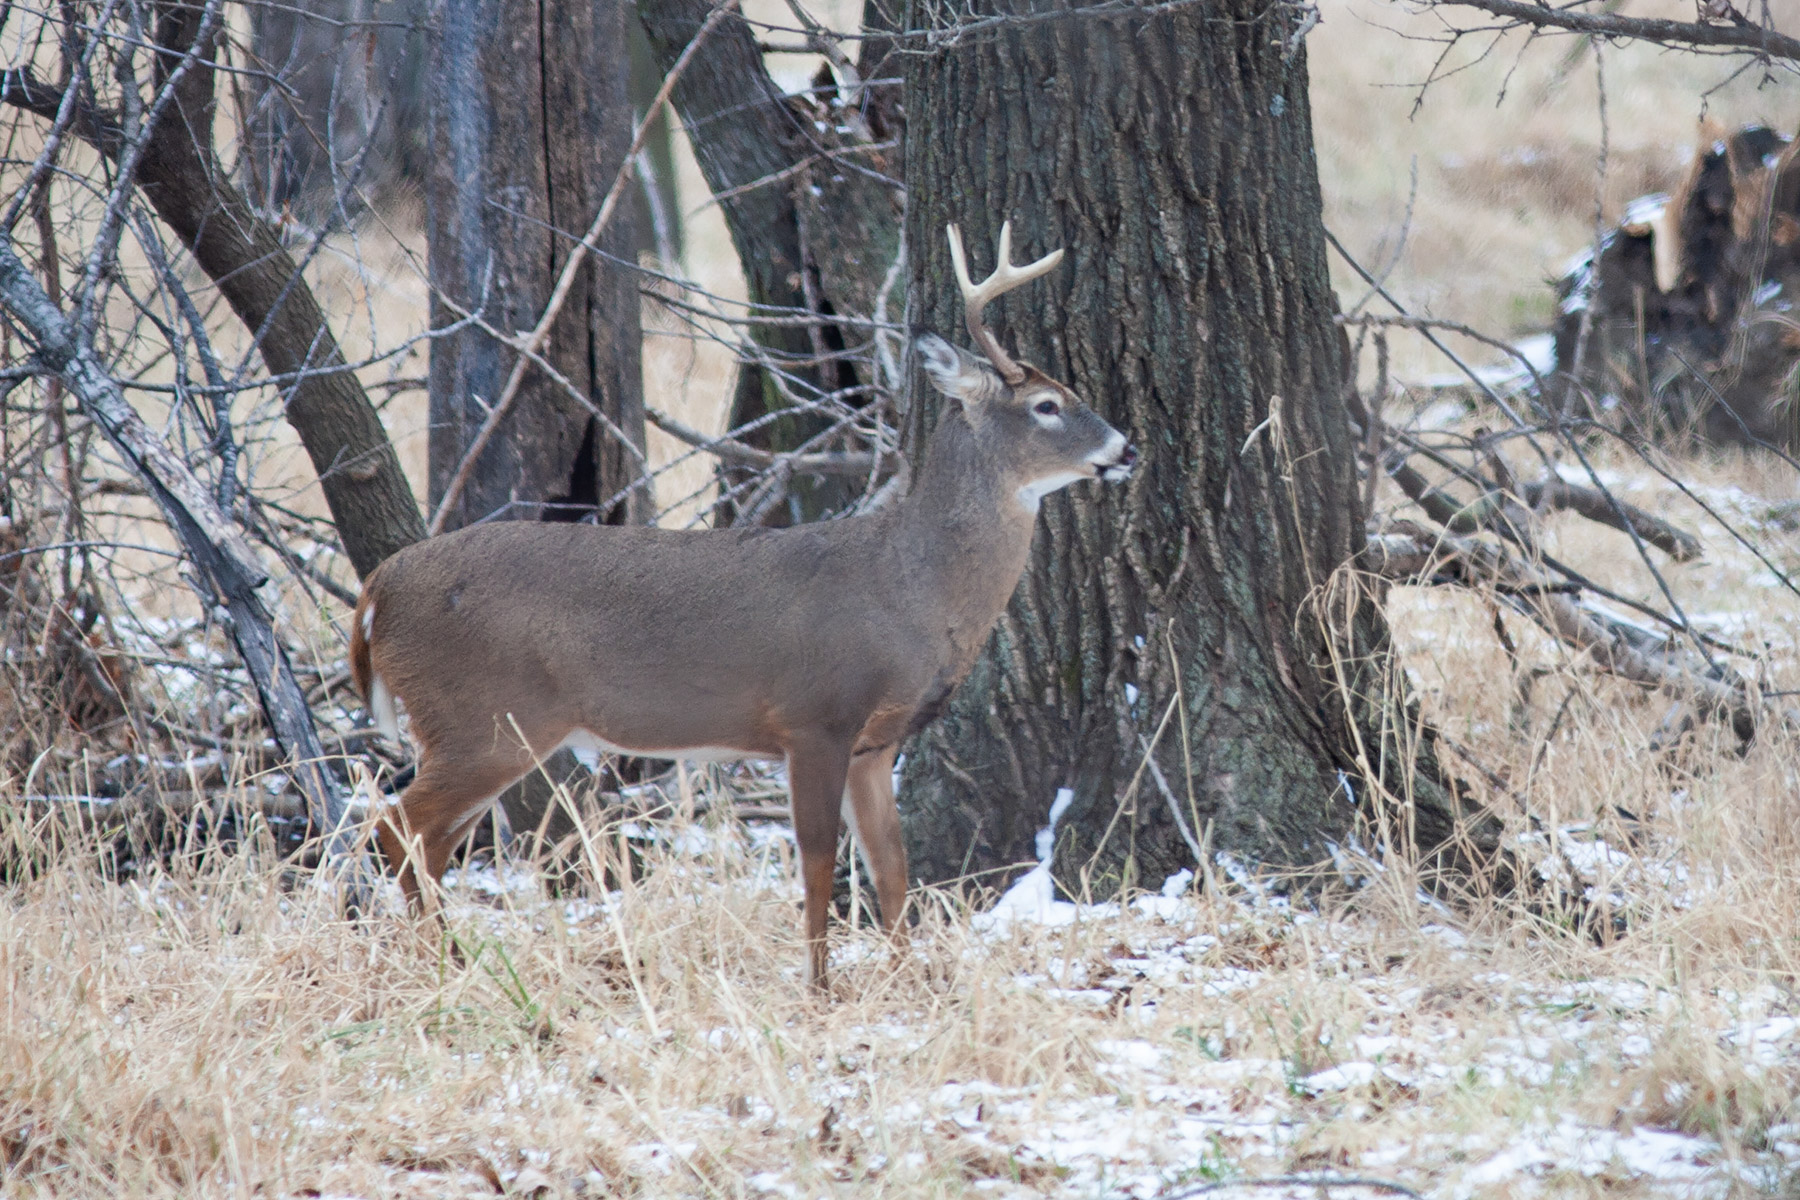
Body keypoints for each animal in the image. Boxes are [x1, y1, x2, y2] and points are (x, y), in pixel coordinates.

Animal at [348, 222, 1136, 989]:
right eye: (1046, 406)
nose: (1127, 448)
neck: (908, 589)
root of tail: (378, 590)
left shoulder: (875, 743)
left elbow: (890, 867)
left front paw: (908, 979)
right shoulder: (814, 717)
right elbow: (818, 861)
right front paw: (819, 987)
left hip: (476, 727)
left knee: (427, 838)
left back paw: (448, 959)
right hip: (481, 717)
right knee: (396, 827)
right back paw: (442, 964)